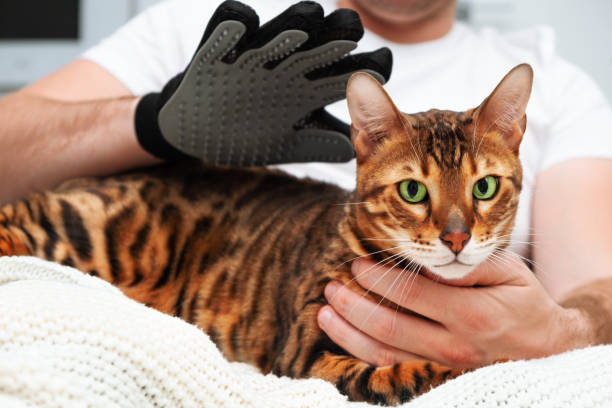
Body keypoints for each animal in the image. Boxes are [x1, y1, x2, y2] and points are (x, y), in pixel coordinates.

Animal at [0, 64, 532, 404]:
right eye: (413, 190)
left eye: (484, 186)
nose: (457, 238)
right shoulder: (309, 356)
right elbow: (416, 374)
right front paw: (470, 367)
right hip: (86, 225)